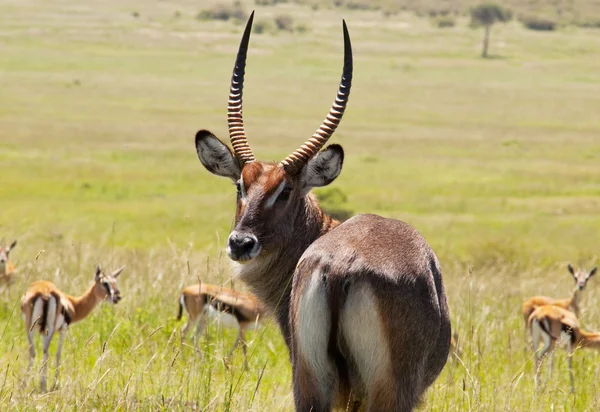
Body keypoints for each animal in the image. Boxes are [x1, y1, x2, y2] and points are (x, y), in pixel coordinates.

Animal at [193, 12, 450, 408]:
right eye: (240, 186)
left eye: (284, 190)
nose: (240, 243)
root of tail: (342, 266)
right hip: (386, 391)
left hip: (310, 380)